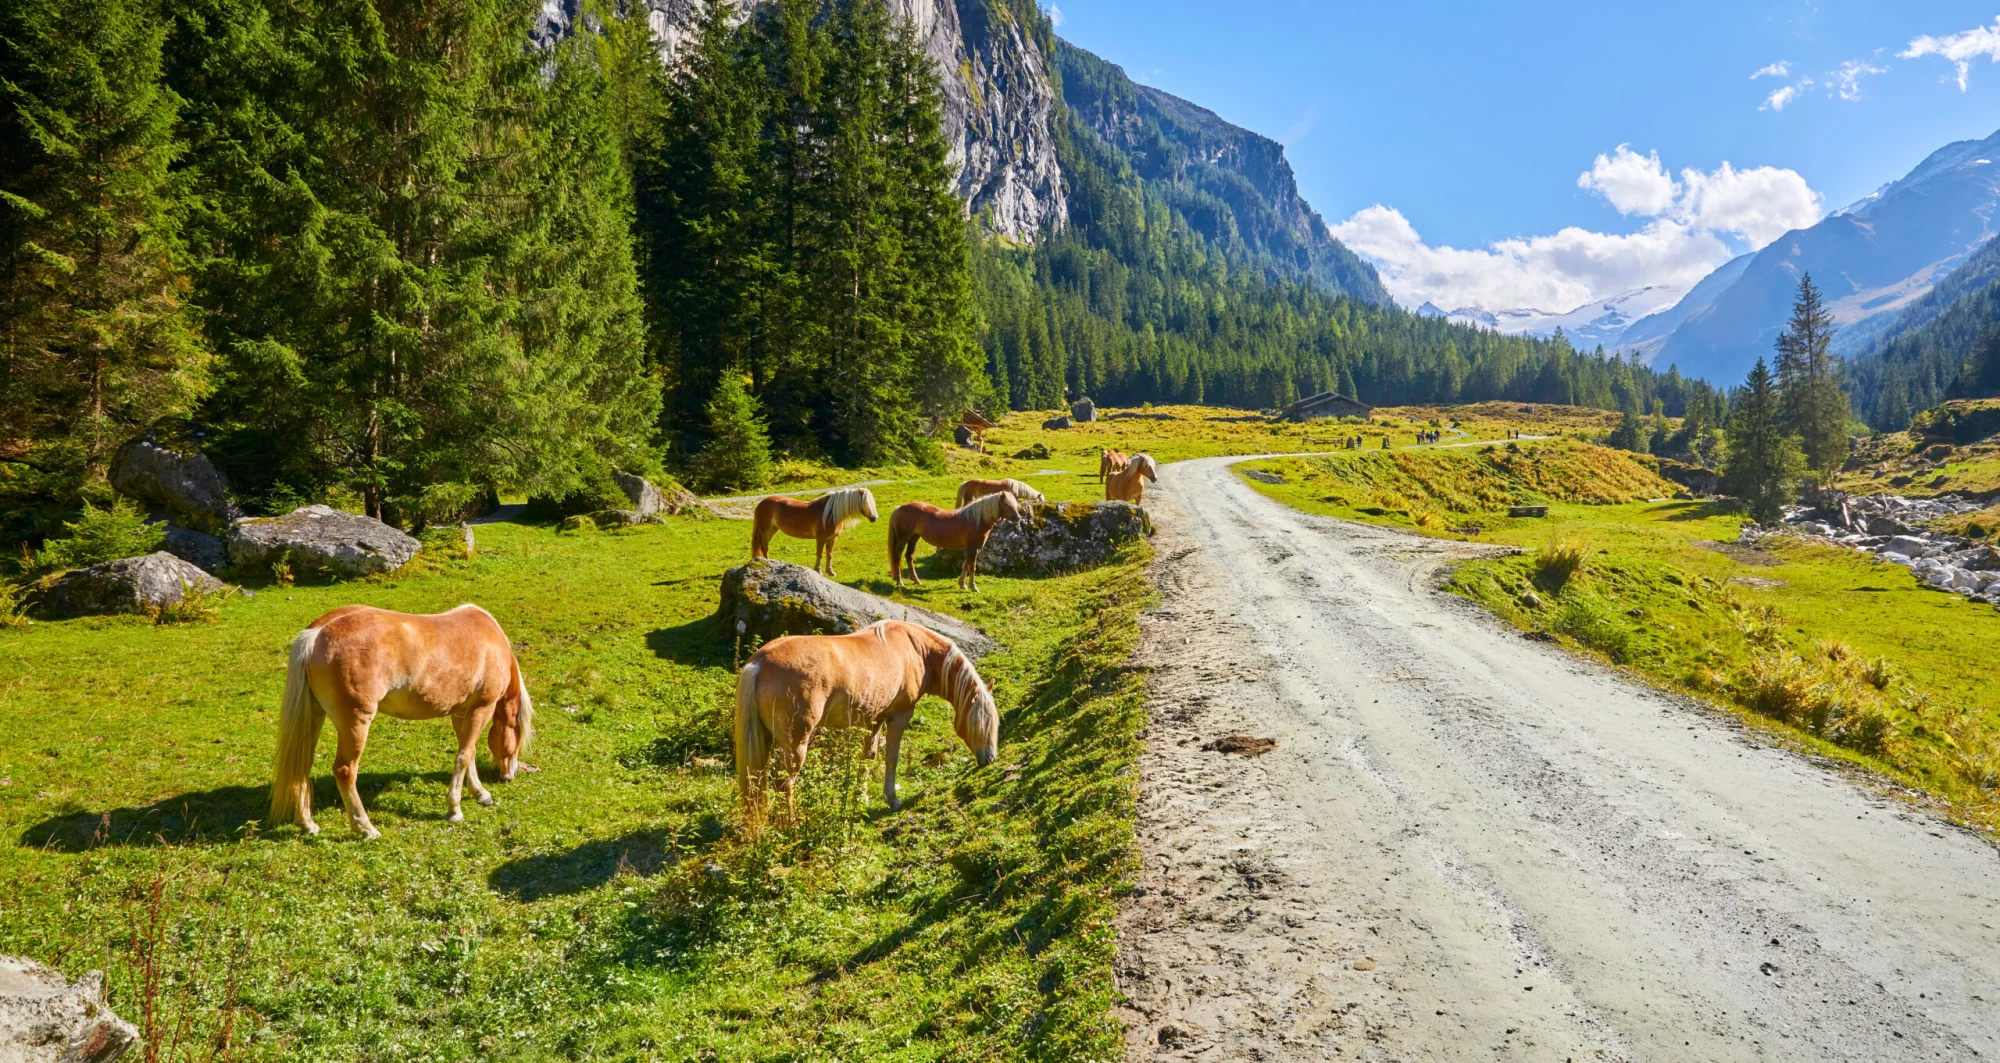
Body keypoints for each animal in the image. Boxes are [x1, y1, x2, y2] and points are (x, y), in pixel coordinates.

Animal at [264, 599, 532, 839]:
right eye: (517, 737)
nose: (510, 775)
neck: (491, 640)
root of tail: (317, 634)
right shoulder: (481, 709)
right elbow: (464, 756)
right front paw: (454, 810)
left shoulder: (461, 713)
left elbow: (469, 753)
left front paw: (480, 793)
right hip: (355, 723)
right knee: (344, 770)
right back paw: (365, 829)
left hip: (314, 716)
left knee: (302, 764)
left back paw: (307, 824)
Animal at [736, 619, 1000, 811]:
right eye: (980, 722)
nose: (990, 758)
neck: (916, 649)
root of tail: (758, 662)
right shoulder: (899, 717)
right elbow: (891, 757)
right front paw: (892, 799)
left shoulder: (874, 720)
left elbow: (868, 757)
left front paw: (861, 798)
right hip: (795, 744)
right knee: (784, 784)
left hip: (764, 740)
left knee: (757, 780)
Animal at [888, 489, 1016, 591]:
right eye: (1006, 504)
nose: (1017, 517)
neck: (975, 520)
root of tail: (899, 508)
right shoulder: (972, 548)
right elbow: (972, 566)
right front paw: (973, 587)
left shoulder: (969, 548)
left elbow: (965, 565)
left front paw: (962, 584)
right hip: (903, 538)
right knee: (897, 556)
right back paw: (900, 582)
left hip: (914, 538)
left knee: (909, 556)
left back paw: (916, 580)